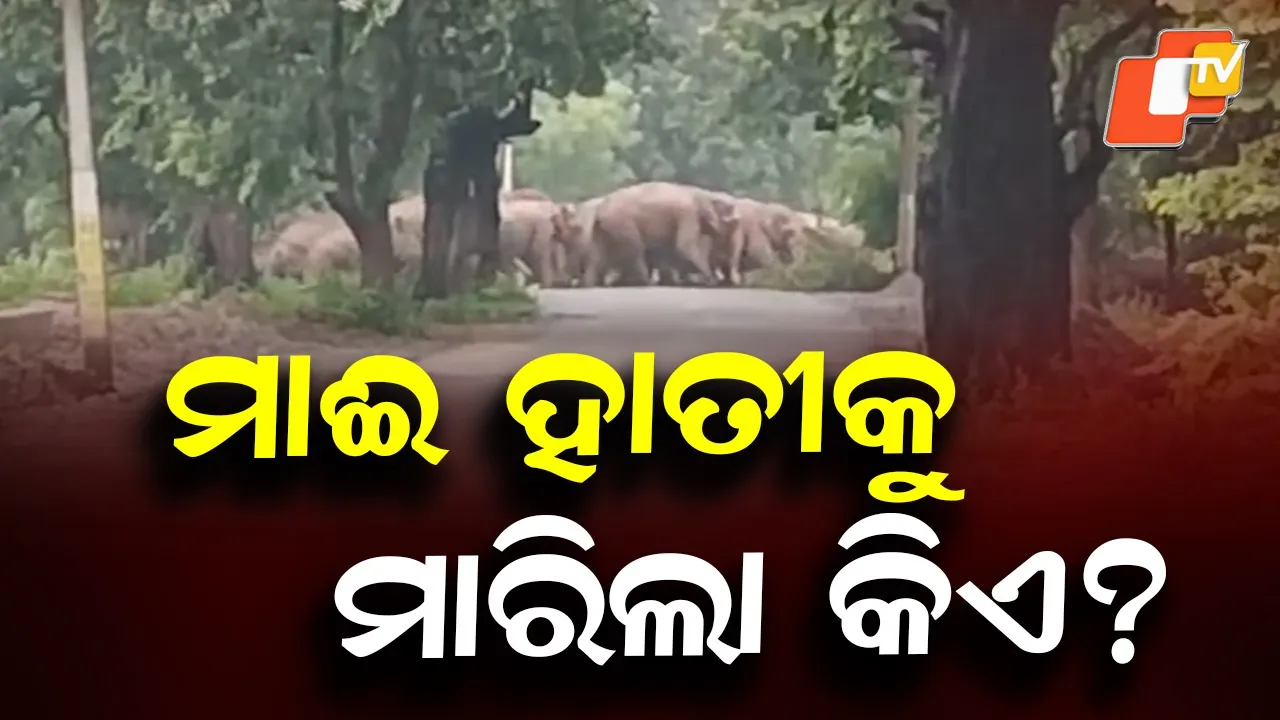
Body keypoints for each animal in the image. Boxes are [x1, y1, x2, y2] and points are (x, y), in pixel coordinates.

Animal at [581, 182, 740, 288]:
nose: (723, 280)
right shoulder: (688, 213)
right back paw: (645, 283)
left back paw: (592, 284)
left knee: (597, 256)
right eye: (733, 219)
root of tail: (599, 211)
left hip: (602, 229)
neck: (704, 194)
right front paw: (711, 280)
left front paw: (674, 281)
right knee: (636, 251)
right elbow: (684, 246)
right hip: (622, 223)